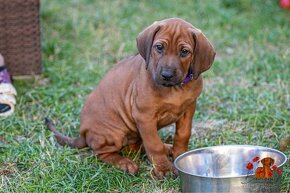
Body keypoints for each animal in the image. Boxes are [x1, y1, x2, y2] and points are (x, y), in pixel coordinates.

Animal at [46, 18, 215, 178]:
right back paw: (124, 163)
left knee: (135, 147)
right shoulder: (144, 116)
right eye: (159, 47)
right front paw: (164, 168)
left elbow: (183, 135)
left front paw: (179, 155)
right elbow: (154, 144)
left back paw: (167, 148)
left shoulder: (189, 109)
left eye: (184, 51)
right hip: (114, 133)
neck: (174, 89)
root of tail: (84, 134)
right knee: (102, 153)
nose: (166, 75)